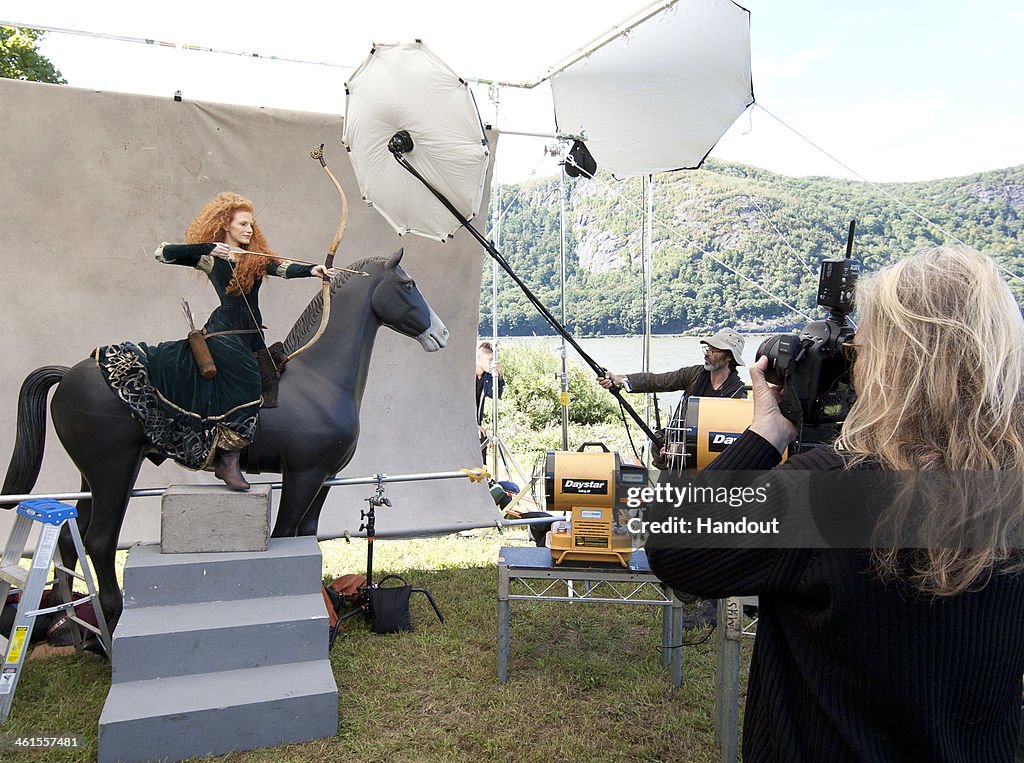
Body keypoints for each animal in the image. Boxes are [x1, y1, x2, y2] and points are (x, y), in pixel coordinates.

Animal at [2, 246, 448, 626]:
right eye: (408, 284)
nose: (441, 334)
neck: (318, 378)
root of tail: (70, 373)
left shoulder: (326, 477)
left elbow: (308, 534)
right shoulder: (302, 476)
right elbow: (286, 535)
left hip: (92, 477)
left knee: (69, 538)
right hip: (114, 473)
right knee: (99, 540)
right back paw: (112, 617)